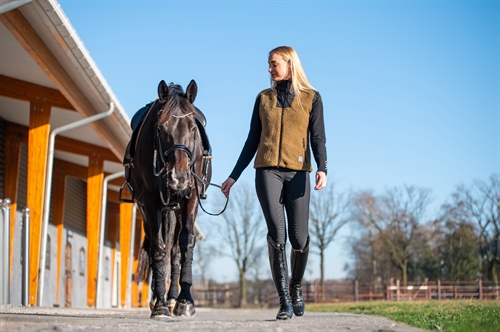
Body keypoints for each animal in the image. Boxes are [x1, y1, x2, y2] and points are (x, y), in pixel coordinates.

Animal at [128, 79, 210, 318]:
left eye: (193, 127)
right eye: (161, 128)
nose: (178, 177)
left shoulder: (191, 199)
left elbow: (185, 245)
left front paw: (185, 301)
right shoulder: (150, 201)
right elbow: (158, 248)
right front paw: (160, 305)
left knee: (175, 251)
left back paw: (173, 298)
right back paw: (160, 299)